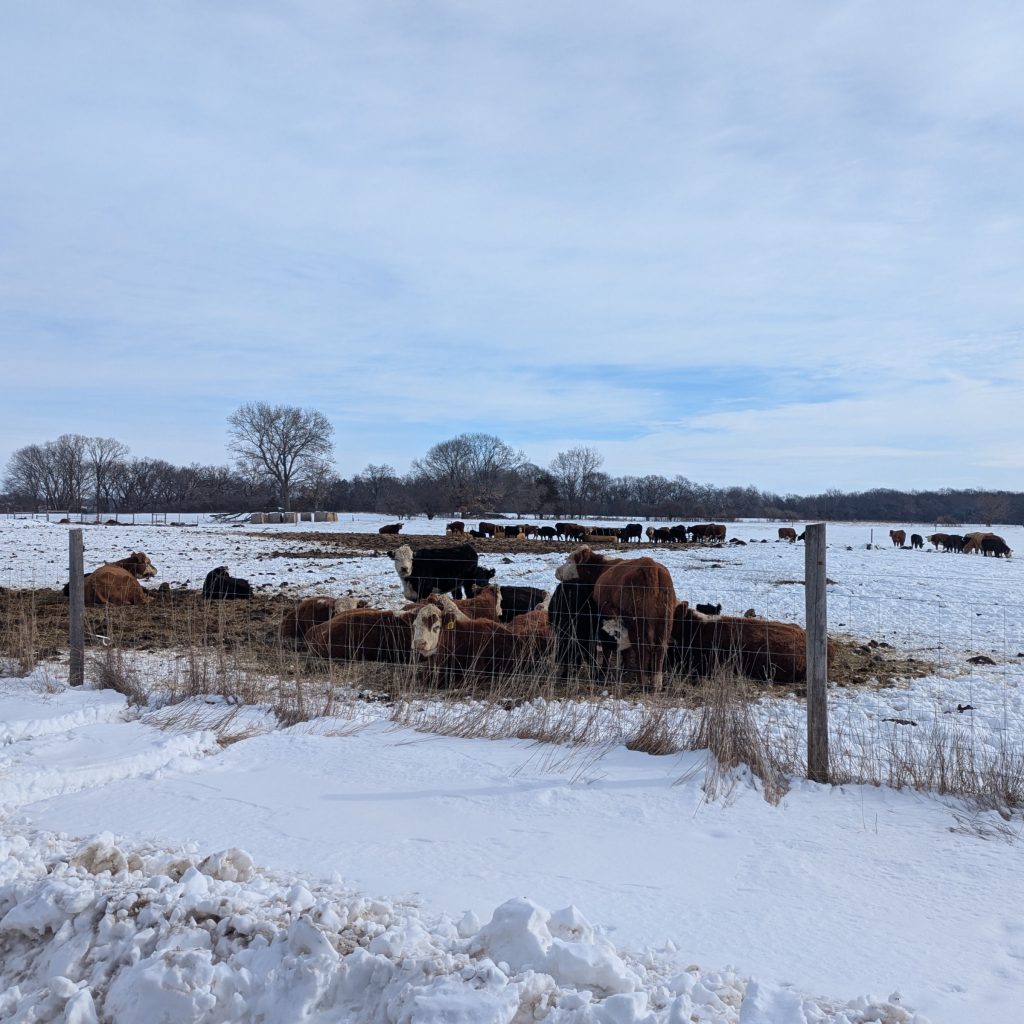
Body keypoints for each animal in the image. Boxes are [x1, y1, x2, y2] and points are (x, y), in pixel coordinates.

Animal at [557, 544, 675, 688]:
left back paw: (641, 683)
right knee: (660, 650)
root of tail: (649, 565)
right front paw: (624, 668)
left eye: (569, 561)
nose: (557, 571)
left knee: (642, 650)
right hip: (665, 624)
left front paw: (604, 671)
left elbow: (607, 650)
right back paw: (656, 683)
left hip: (637, 625)